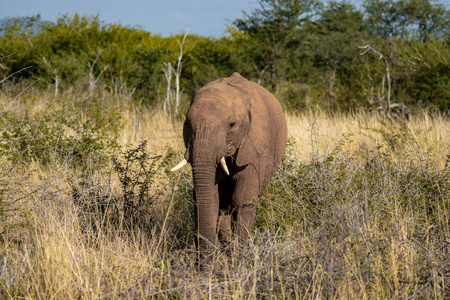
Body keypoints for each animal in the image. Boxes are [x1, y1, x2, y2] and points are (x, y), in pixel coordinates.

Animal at [171, 72, 286, 253]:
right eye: (187, 125)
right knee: (224, 203)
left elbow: (243, 199)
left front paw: (239, 255)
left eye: (231, 125)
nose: (215, 247)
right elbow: (211, 198)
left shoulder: (256, 146)